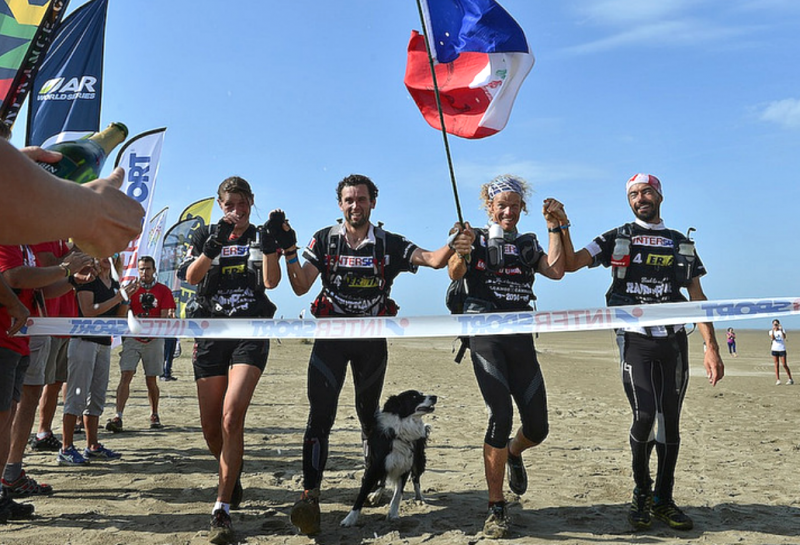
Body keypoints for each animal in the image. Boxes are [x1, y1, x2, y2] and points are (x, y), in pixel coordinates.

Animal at [340, 388, 434, 524]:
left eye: (421, 394)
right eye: (414, 397)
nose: (435, 397)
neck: (400, 430)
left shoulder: (405, 466)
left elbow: (398, 494)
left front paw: (393, 514)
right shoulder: (375, 467)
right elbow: (362, 494)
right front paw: (349, 519)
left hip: (418, 460)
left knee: (416, 478)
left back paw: (419, 497)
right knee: (383, 479)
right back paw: (376, 494)